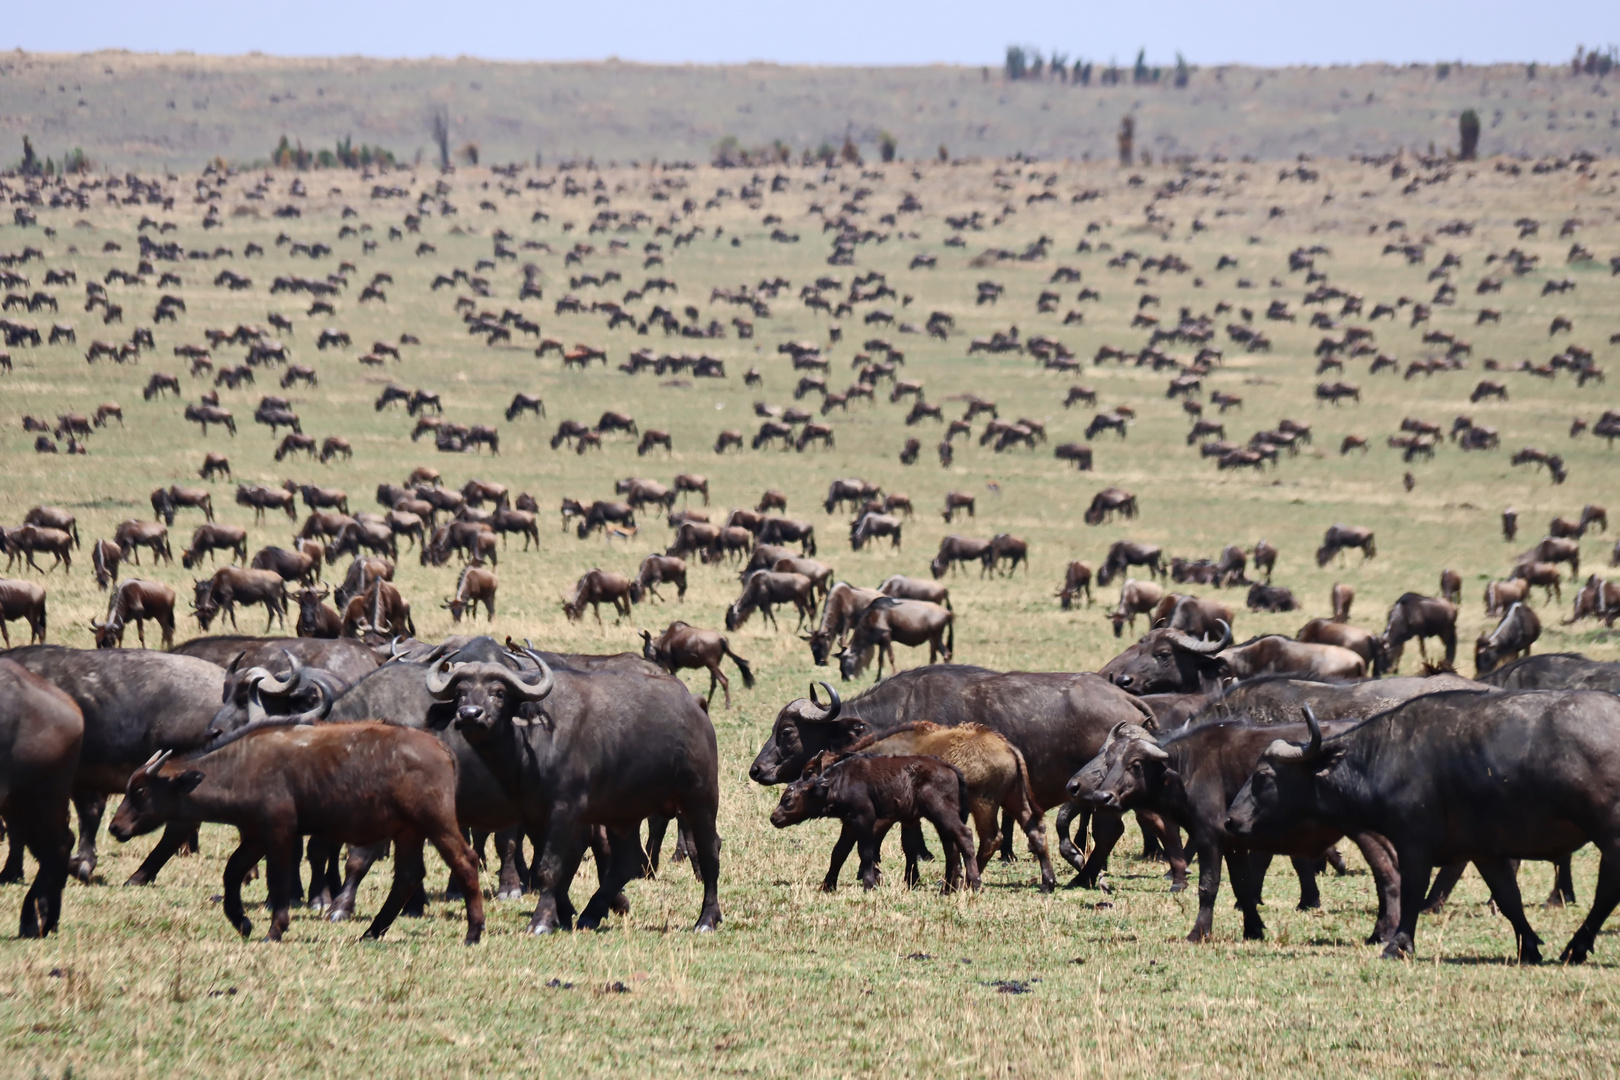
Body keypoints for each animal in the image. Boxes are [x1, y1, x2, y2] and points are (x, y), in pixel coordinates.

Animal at [110, 725, 479, 945]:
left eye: (140, 791)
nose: (115, 827)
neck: (240, 769)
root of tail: (440, 747)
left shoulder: (279, 833)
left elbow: (278, 881)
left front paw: (275, 929)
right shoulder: (255, 835)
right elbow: (232, 872)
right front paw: (241, 922)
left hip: (436, 822)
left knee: (465, 861)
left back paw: (474, 931)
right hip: (408, 831)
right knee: (408, 875)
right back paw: (372, 931)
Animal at [767, 751, 978, 893]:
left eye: (787, 799)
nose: (774, 817)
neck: (839, 783)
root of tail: (949, 768)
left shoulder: (864, 821)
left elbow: (866, 852)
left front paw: (869, 883)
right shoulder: (849, 825)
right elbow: (838, 853)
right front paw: (827, 885)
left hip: (942, 814)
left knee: (965, 836)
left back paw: (974, 883)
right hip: (941, 820)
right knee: (951, 848)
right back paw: (948, 889)